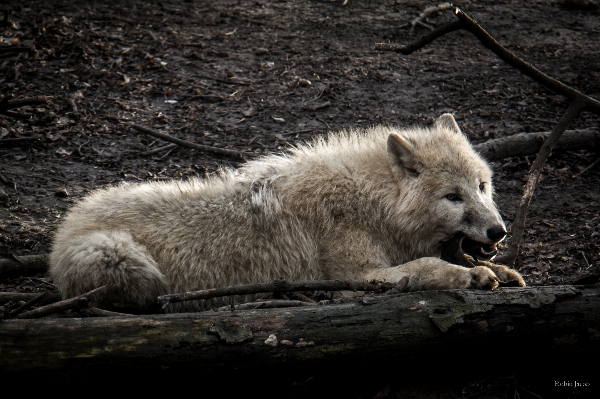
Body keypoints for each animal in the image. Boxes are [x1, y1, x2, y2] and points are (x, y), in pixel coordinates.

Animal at [50, 114, 524, 310]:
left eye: (482, 187)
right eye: (453, 197)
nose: (498, 232)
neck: (374, 203)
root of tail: (62, 229)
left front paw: (501, 271)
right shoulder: (357, 277)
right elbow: (427, 266)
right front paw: (472, 277)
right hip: (120, 256)